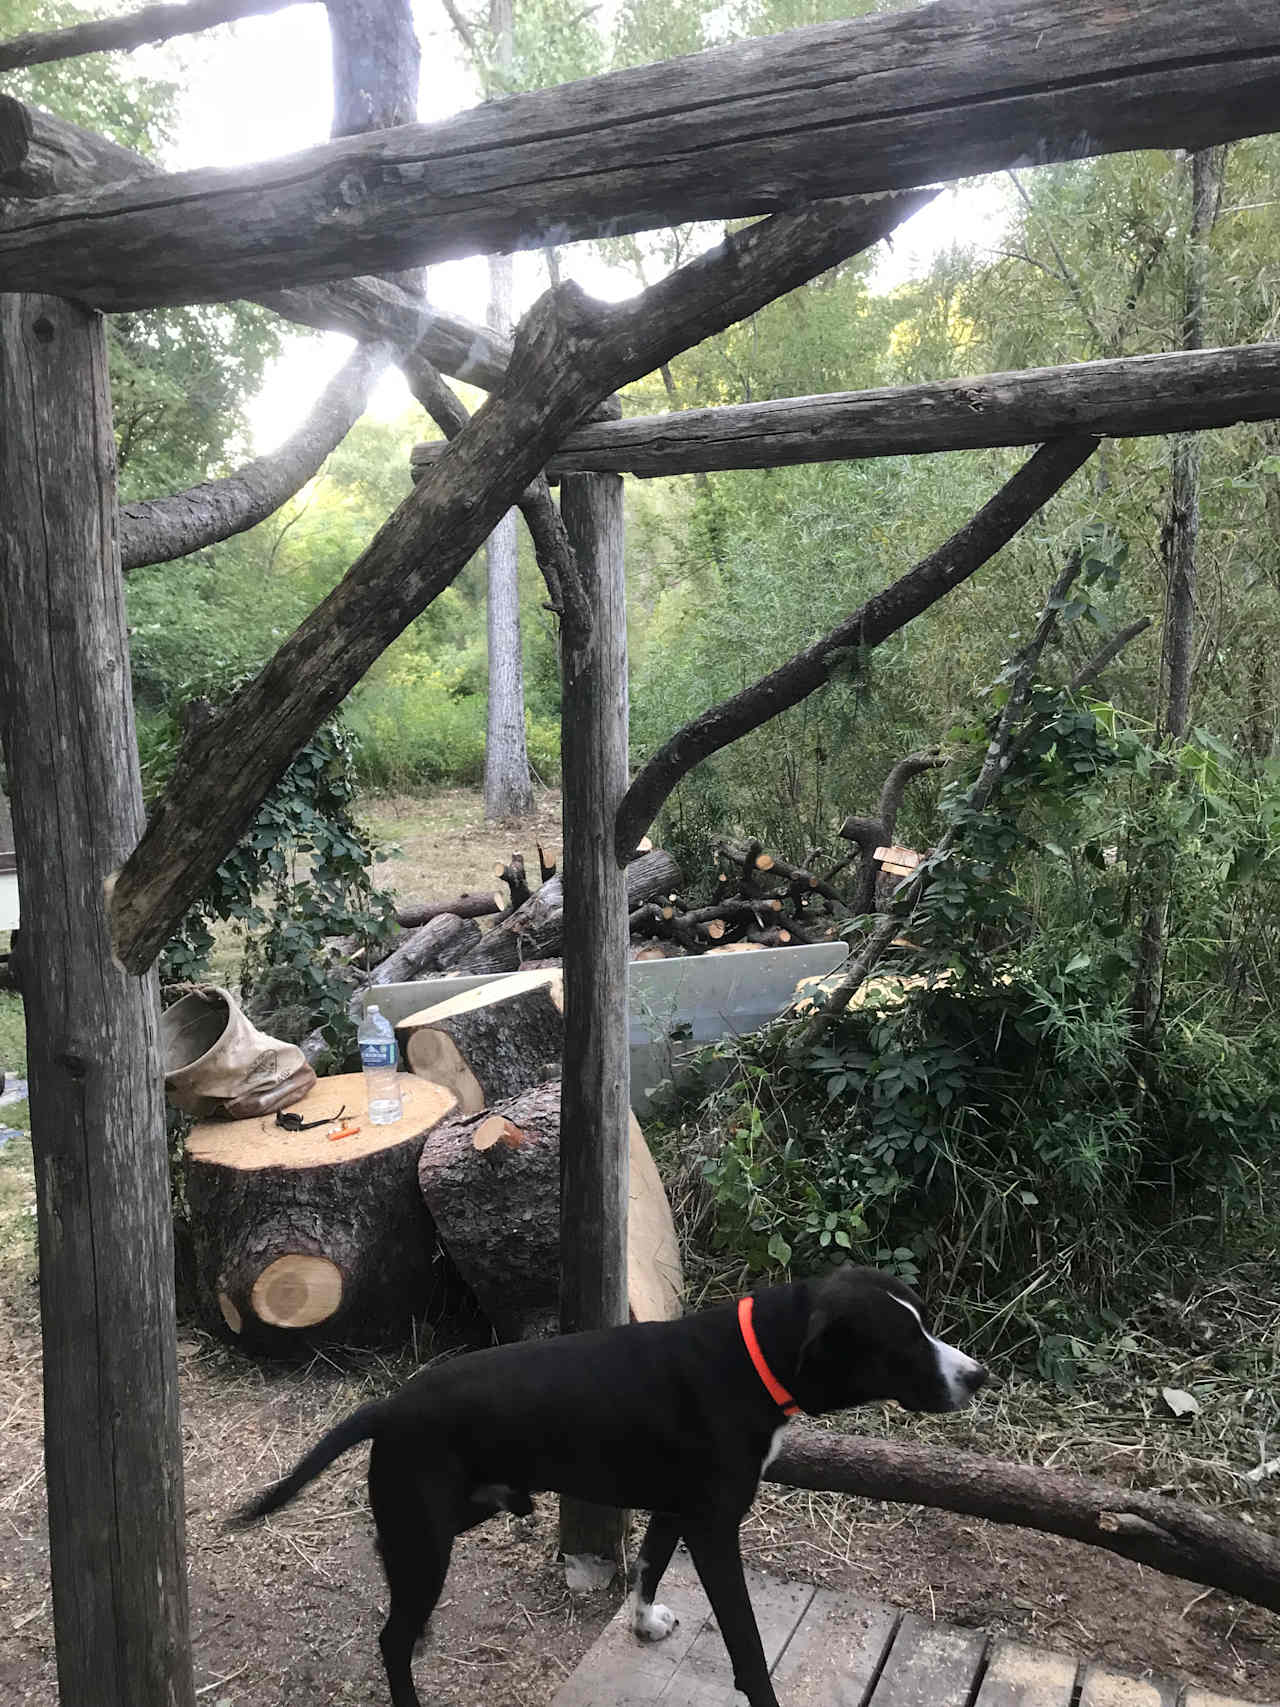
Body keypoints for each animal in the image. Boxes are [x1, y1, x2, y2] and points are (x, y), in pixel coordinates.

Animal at [235, 1270, 989, 1707]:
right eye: (902, 1343)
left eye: (925, 1322)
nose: (979, 1375)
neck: (751, 1358)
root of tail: (388, 1407)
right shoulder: (715, 1531)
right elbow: (747, 1648)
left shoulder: (674, 1510)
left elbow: (650, 1566)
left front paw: (643, 1623)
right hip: (429, 1543)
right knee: (391, 1639)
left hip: (447, 1519)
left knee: (391, 1576)